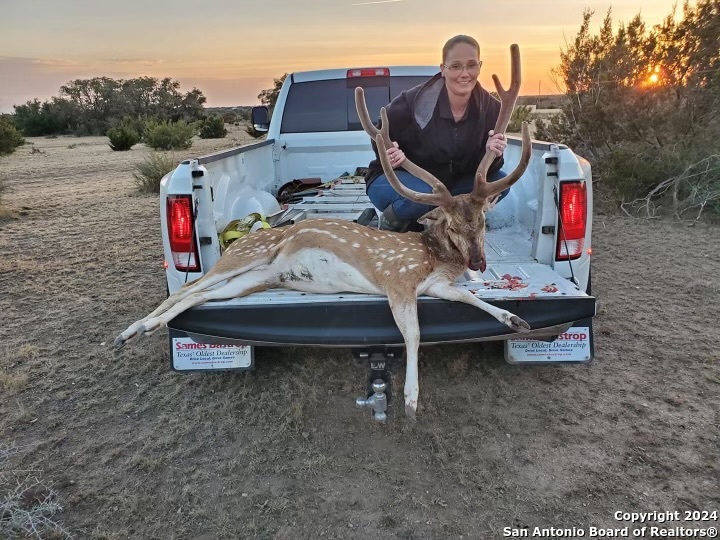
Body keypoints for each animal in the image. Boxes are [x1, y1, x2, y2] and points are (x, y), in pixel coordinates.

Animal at [115, 44, 532, 420]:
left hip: (257, 278)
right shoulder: (396, 278)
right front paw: (412, 401)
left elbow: (472, 298)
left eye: (482, 221)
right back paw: (131, 331)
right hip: (245, 255)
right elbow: (413, 334)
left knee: (203, 296)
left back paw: (138, 330)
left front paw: (516, 320)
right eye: (454, 225)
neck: (435, 259)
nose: (478, 261)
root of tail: (250, 239)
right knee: (186, 288)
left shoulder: (437, 286)